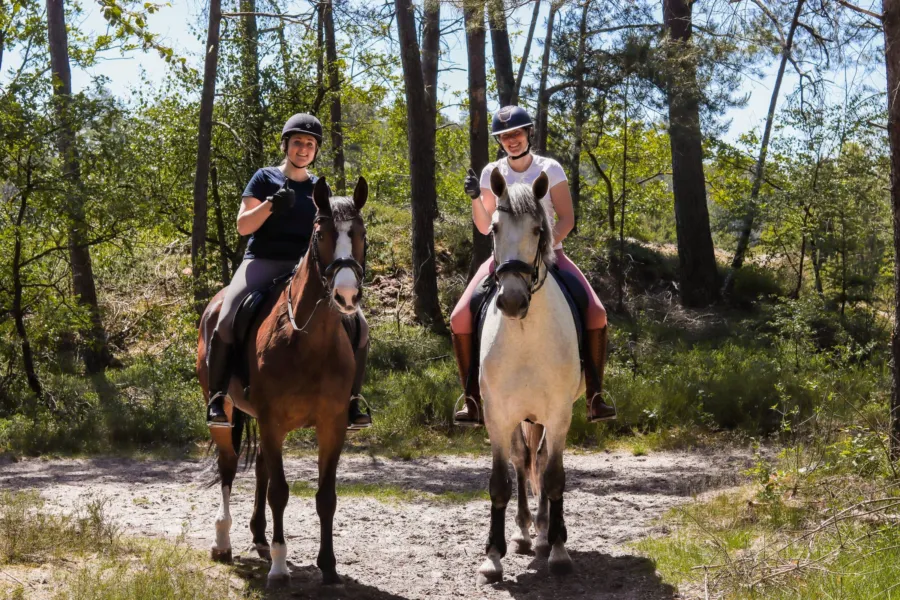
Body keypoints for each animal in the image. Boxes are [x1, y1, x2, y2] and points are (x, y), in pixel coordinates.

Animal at [196, 176, 368, 587]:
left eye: (360, 235)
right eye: (320, 234)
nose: (347, 296)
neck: (309, 338)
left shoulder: (331, 424)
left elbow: (325, 496)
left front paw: (328, 567)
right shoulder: (273, 421)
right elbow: (280, 492)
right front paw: (278, 567)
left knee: (259, 466)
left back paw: (258, 535)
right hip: (226, 409)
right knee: (228, 466)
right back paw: (223, 541)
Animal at [475, 168, 583, 585]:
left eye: (539, 230)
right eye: (493, 228)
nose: (511, 300)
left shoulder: (559, 413)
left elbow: (553, 478)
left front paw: (558, 550)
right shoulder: (497, 414)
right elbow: (499, 482)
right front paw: (493, 556)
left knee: (541, 459)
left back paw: (544, 531)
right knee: (524, 461)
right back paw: (524, 532)